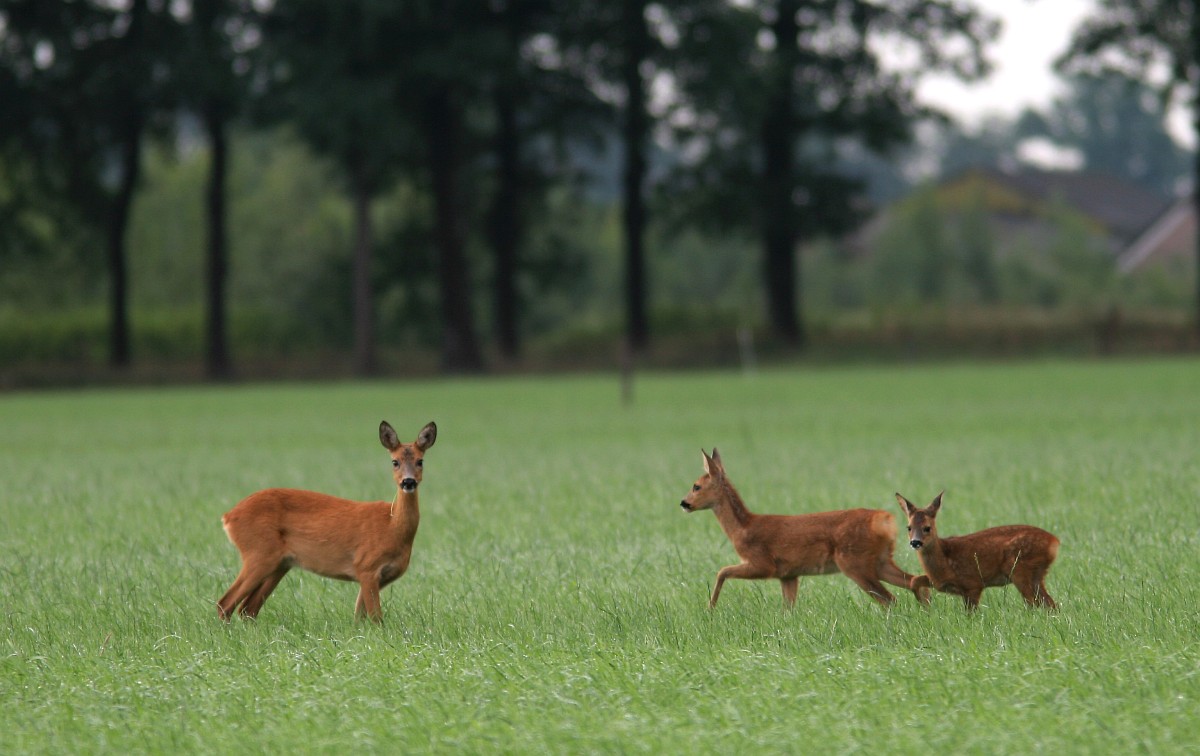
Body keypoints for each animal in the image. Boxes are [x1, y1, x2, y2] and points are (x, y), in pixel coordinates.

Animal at [217, 421, 437, 623]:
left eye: (420, 461)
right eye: (395, 462)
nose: (408, 482)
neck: (392, 527)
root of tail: (228, 516)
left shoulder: (375, 576)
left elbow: (359, 617)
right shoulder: (366, 566)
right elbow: (376, 618)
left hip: (279, 564)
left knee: (247, 609)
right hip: (258, 553)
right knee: (225, 603)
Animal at [679, 448, 929, 609]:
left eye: (696, 486)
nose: (683, 503)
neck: (742, 528)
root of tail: (885, 520)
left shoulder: (763, 564)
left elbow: (722, 571)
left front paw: (710, 608)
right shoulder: (789, 575)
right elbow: (788, 609)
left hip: (854, 562)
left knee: (891, 599)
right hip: (880, 560)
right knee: (915, 581)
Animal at [896, 492, 1059, 611]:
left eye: (927, 528)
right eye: (909, 527)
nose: (915, 542)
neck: (945, 560)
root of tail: (1054, 542)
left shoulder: (973, 583)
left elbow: (970, 613)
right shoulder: (939, 583)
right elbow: (914, 580)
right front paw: (925, 602)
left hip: (1020, 569)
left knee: (1034, 603)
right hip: (1036, 574)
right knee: (1050, 604)